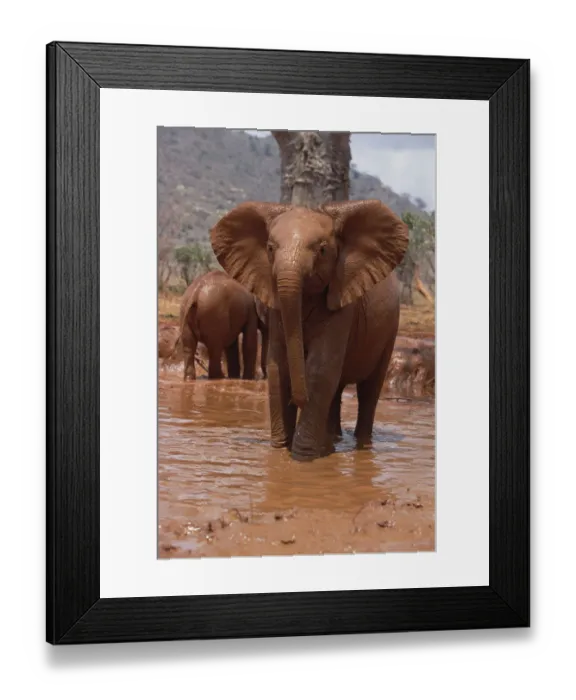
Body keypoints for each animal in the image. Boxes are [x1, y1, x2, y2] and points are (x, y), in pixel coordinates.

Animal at [210, 199, 409, 461]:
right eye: (270, 249)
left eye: (322, 250)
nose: (299, 399)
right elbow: (278, 368)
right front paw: (281, 452)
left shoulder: (342, 300)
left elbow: (320, 368)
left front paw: (304, 457)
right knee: (337, 389)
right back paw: (333, 440)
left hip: (389, 329)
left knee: (369, 389)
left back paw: (359, 445)